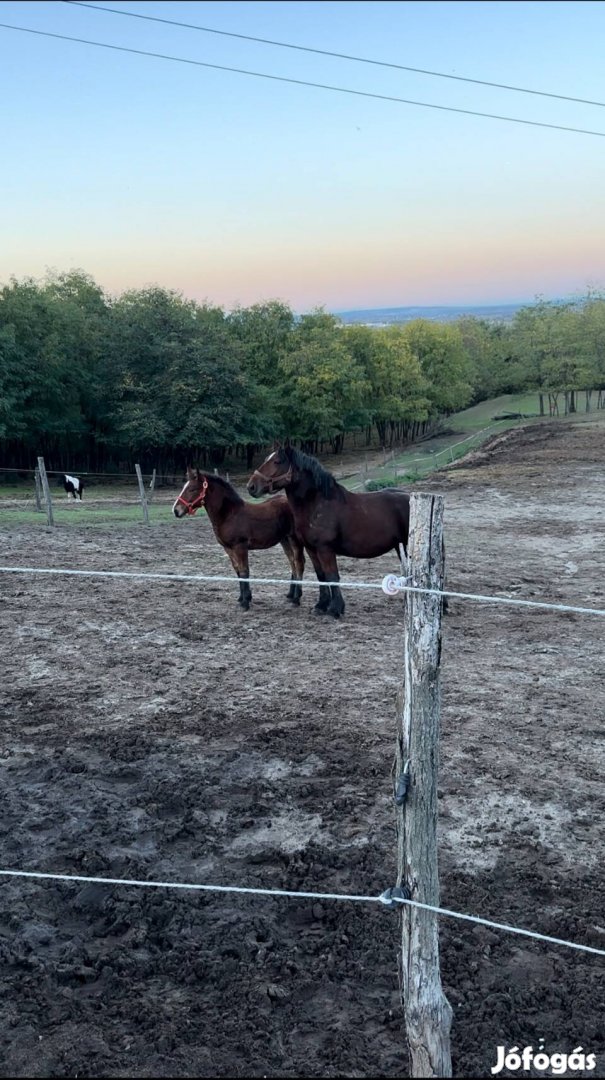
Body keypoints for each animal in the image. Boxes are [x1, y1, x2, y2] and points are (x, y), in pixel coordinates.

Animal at [172, 466, 304, 613]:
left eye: (192, 489)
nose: (176, 510)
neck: (230, 514)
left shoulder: (240, 546)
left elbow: (244, 571)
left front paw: (246, 602)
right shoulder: (228, 548)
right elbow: (238, 571)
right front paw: (242, 599)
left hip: (294, 539)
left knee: (299, 563)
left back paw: (296, 599)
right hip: (284, 540)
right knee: (292, 562)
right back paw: (290, 595)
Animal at [246, 444, 410, 617]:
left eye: (277, 461)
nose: (251, 486)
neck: (317, 503)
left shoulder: (325, 549)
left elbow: (332, 576)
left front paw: (335, 609)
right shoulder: (312, 549)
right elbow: (321, 576)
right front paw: (321, 605)